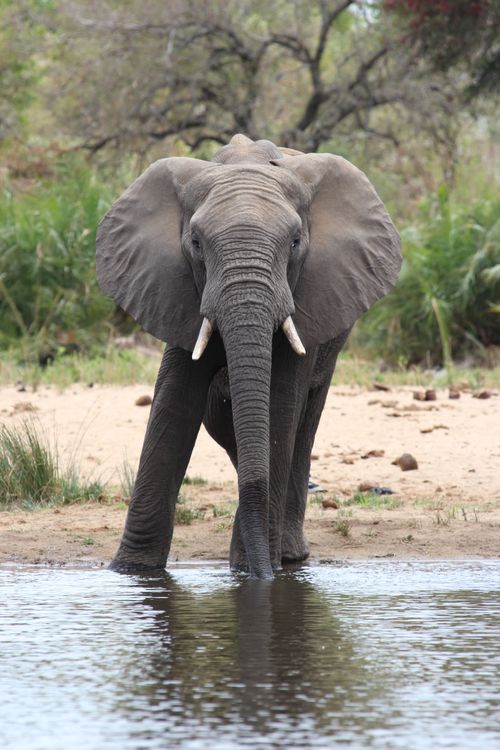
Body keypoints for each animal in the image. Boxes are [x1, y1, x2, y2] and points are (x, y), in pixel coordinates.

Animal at [96, 134, 401, 579]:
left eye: (295, 242)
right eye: (196, 243)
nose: (262, 577)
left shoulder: (311, 292)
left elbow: (281, 404)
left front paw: (250, 574)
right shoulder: (174, 288)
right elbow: (174, 404)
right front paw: (132, 573)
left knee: (303, 423)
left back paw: (287, 555)